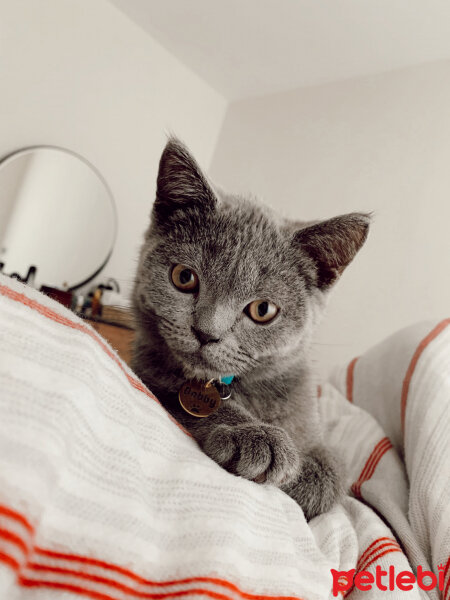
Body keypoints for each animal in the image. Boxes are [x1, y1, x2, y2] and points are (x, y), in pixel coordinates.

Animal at [131, 138, 370, 516]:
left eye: (263, 310)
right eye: (184, 277)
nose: (206, 332)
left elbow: (333, 471)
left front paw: (303, 473)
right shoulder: (147, 374)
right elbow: (177, 398)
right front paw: (260, 439)